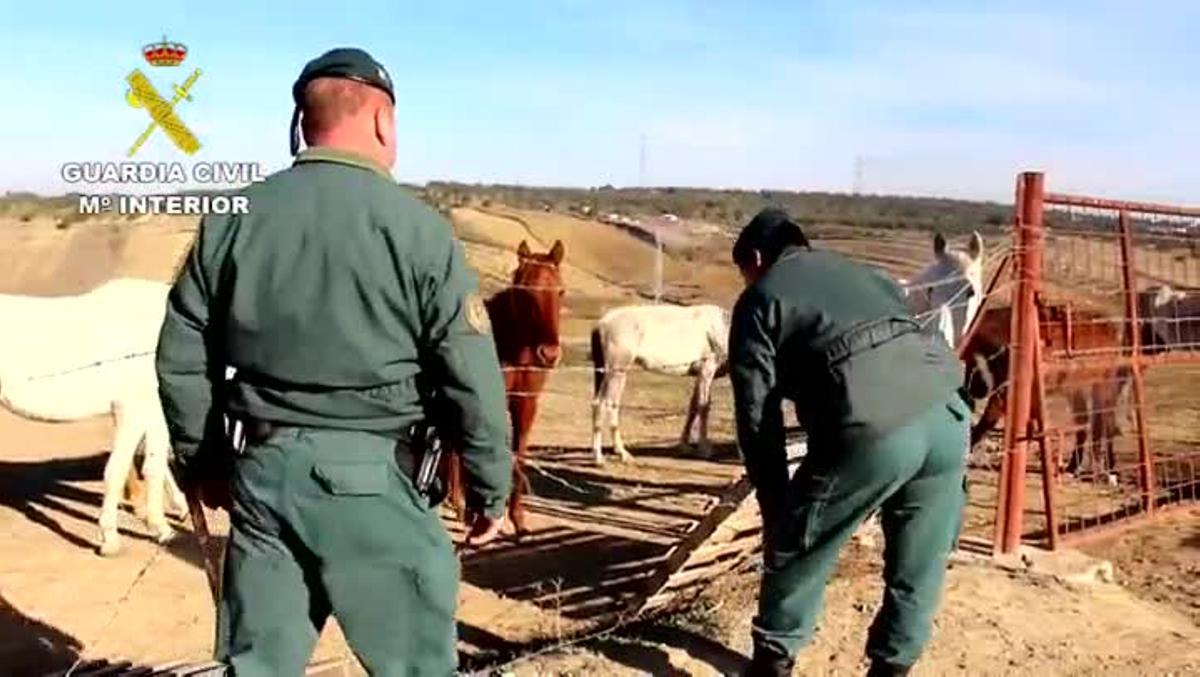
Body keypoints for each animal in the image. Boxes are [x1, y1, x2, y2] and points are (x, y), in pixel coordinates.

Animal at [0, 276, 186, 554]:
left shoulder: (152, 409)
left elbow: (155, 466)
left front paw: (162, 526)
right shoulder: (130, 409)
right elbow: (117, 470)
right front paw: (109, 539)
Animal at [446, 240, 566, 537]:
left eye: (561, 291)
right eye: (525, 292)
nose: (549, 354)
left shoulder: (526, 403)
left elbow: (518, 456)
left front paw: (518, 519)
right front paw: (475, 514)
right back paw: (459, 504)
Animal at [588, 302, 724, 465]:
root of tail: (601, 324)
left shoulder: (699, 374)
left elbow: (693, 406)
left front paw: (684, 446)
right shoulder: (707, 369)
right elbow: (703, 407)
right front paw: (704, 450)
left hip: (602, 372)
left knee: (597, 403)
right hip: (617, 370)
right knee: (607, 404)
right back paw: (610, 456)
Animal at [960, 301, 1128, 480]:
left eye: (972, 366)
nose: (971, 392)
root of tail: (1112, 331)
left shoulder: (1004, 392)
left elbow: (983, 425)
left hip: (1102, 390)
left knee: (1107, 424)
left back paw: (1110, 470)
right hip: (1076, 391)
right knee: (1085, 423)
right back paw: (1073, 466)